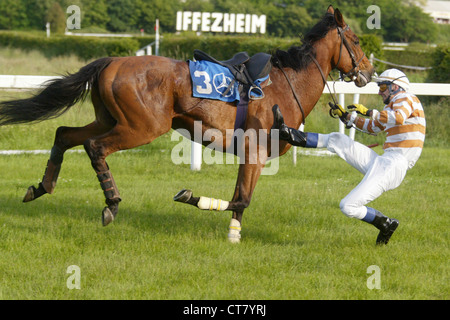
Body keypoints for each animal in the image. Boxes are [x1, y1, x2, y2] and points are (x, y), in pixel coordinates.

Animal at [0, 6, 372, 242]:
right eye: (355, 41)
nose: (367, 72)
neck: (285, 84)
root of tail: (111, 61)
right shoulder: (255, 152)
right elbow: (241, 199)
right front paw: (195, 200)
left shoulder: (250, 155)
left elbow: (240, 198)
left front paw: (232, 233)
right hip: (140, 128)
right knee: (95, 147)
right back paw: (112, 204)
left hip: (109, 119)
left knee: (65, 135)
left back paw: (42, 187)